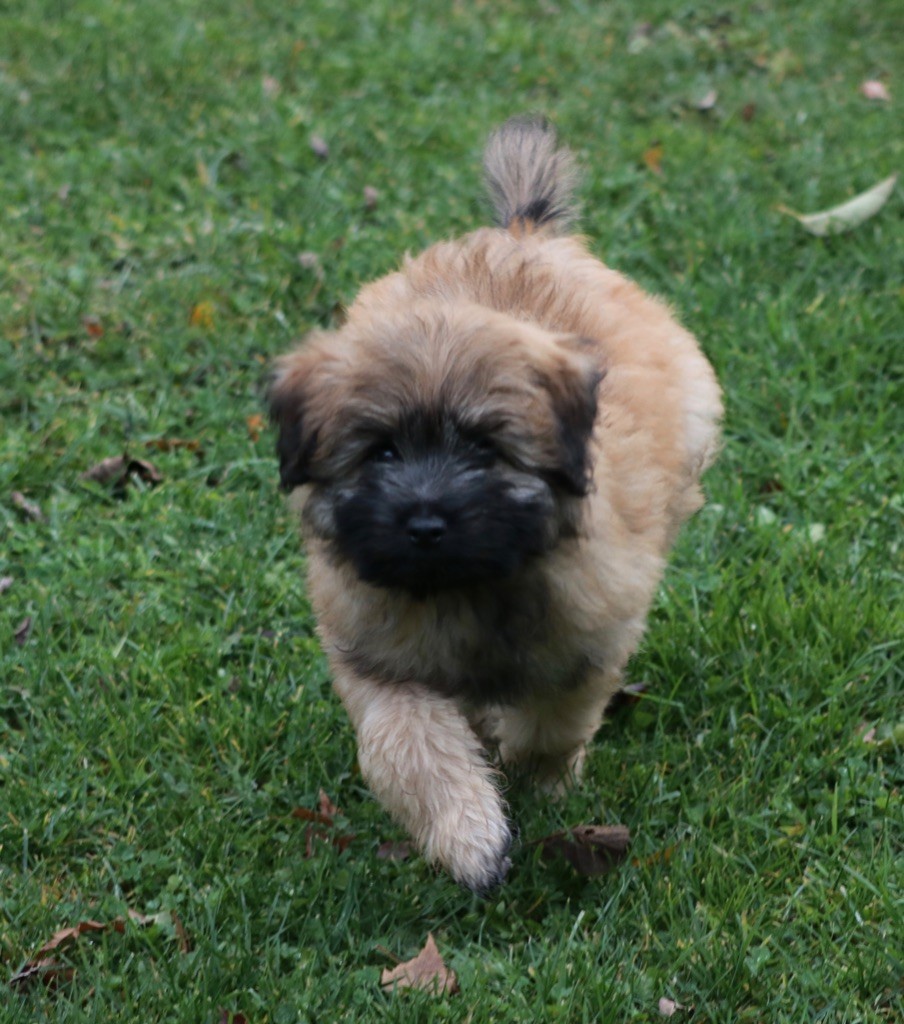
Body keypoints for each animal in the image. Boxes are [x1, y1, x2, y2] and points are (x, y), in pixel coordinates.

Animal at [268, 117, 720, 888]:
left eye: (485, 449)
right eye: (381, 451)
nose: (424, 524)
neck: (467, 589)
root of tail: (523, 231)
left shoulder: (587, 641)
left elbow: (551, 723)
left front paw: (538, 784)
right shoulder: (375, 659)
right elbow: (406, 746)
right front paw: (470, 836)